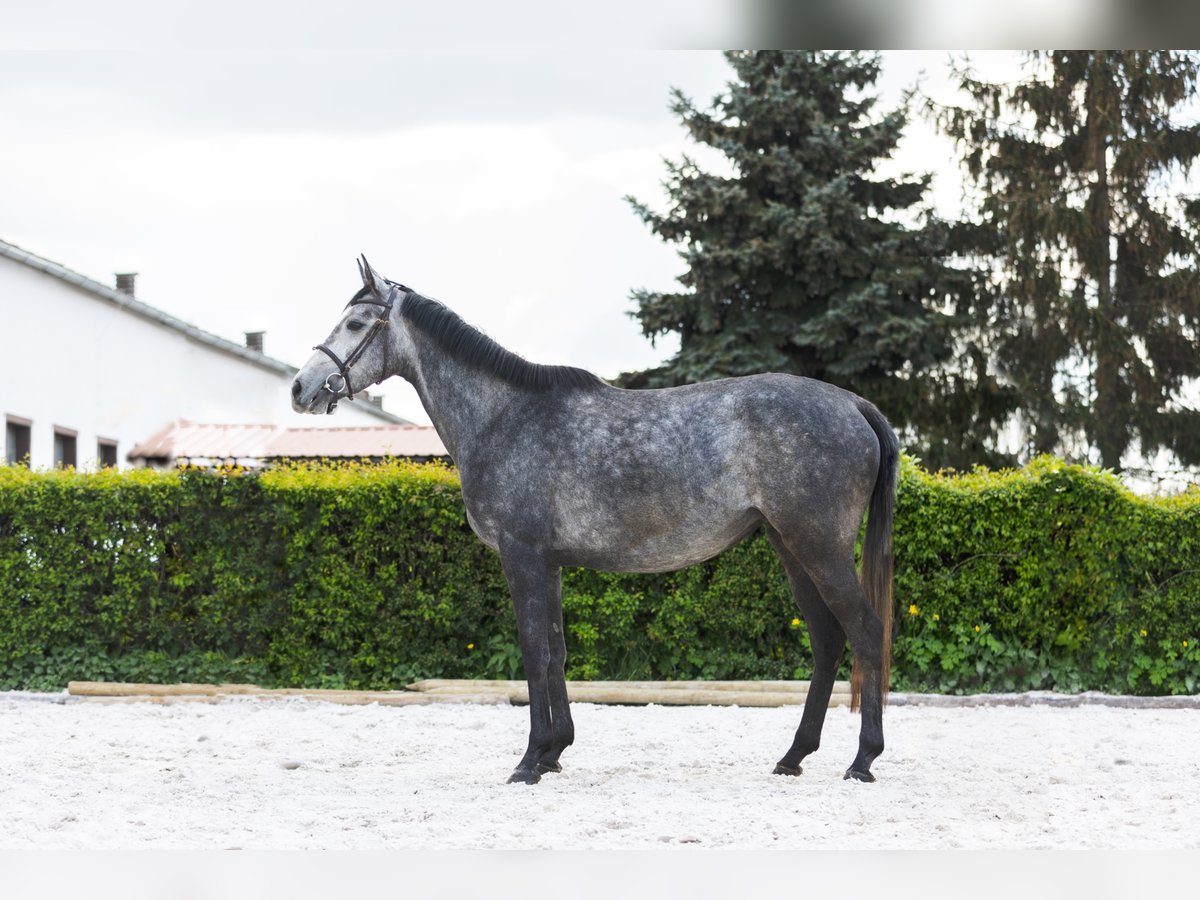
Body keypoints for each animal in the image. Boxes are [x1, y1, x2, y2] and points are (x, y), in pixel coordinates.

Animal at [292, 256, 902, 787]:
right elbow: (556, 650)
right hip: (790, 545)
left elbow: (534, 649)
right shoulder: (549, 563)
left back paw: (862, 760)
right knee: (827, 639)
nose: (301, 388)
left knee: (865, 630)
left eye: (354, 323)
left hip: (818, 545)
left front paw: (529, 761)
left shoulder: (522, 556)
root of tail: (853, 404)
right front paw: (555, 751)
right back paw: (793, 756)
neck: (504, 417)